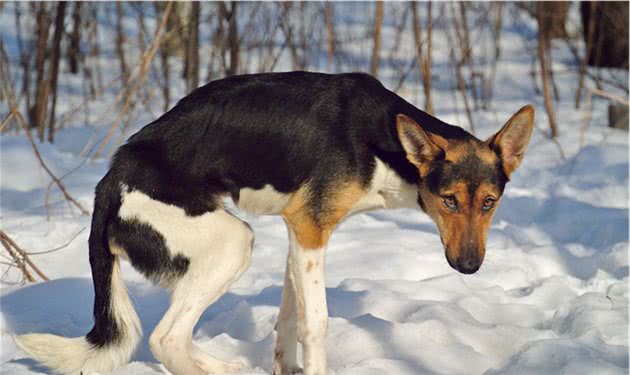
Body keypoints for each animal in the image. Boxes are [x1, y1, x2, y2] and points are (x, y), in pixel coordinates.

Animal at [14, 71, 536, 375]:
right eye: (448, 201)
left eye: (489, 204)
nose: (469, 267)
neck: (383, 141)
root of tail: (110, 181)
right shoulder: (310, 229)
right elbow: (316, 324)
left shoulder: (298, 232)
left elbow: (288, 323)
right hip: (232, 243)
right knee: (167, 339)